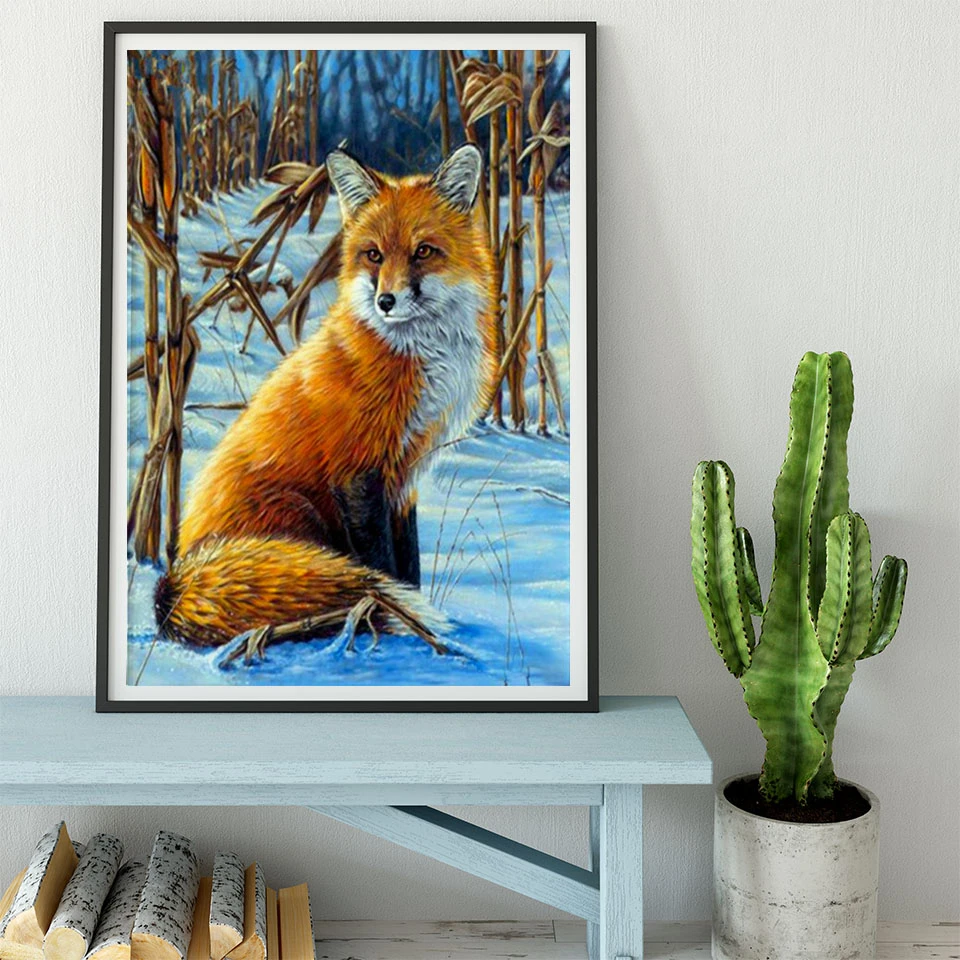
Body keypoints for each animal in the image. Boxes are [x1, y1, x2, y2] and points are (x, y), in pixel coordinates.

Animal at [154, 143, 497, 653]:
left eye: (423, 252)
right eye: (373, 255)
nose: (386, 301)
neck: (416, 357)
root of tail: (174, 580)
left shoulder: (405, 477)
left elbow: (409, 565)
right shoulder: (357, 471)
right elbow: (382, 565)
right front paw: (398, 620)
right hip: (300, 512)